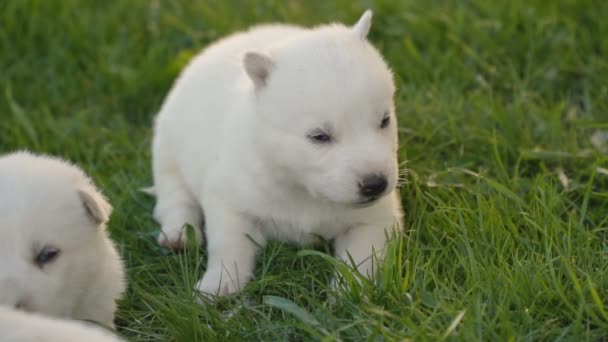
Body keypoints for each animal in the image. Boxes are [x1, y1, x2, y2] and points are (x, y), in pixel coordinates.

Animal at [151, 9, 402, 296]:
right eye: (319, 136)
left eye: (384, 120)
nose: (376, 184)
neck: (303, 191)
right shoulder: (230, 196)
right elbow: (229, 244)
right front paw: (217, 284)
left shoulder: (375, 218)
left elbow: (363, 256)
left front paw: (349, 292)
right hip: (167, 146)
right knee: (174, 193)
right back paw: (179, 234)